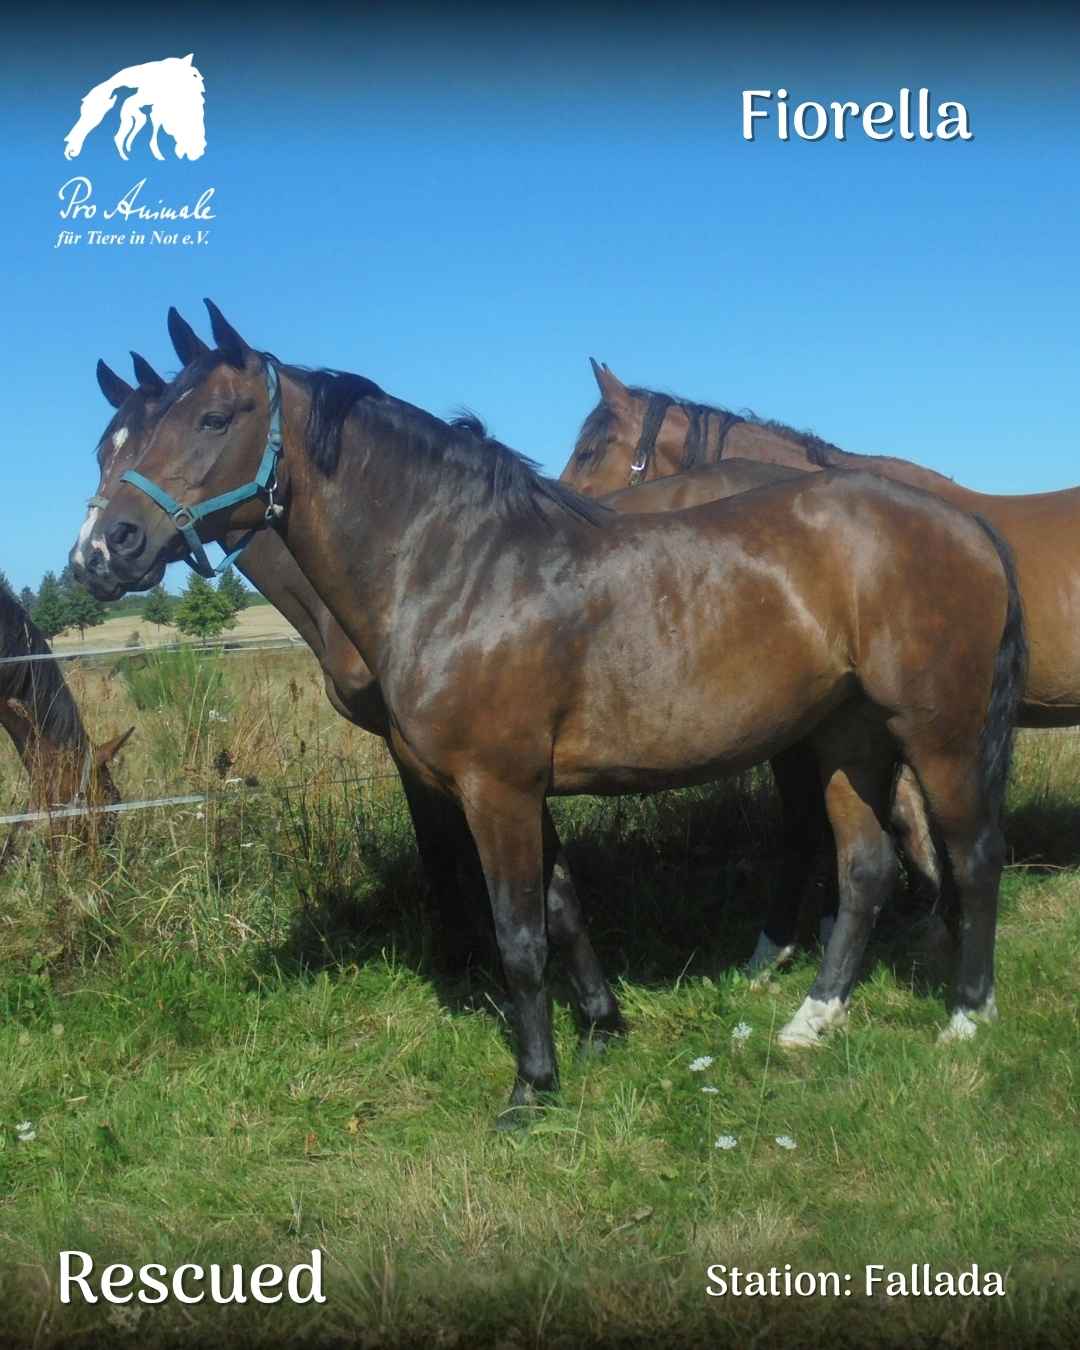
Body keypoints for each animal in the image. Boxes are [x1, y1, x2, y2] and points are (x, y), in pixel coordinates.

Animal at [73, 301, 1025, 1126]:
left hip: (939, 735)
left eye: (214, 418)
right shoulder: (521, 789)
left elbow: (519, 936)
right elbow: (563, 909)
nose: (103, 550)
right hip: (845, 739)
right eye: (110, 443)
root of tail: (966, 525)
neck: (460, 571)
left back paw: (967, 1016)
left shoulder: (494, 789)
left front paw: (532, 1086)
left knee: (975, 856)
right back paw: (813, 1021)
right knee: (865, 867)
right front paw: (603, 1028)